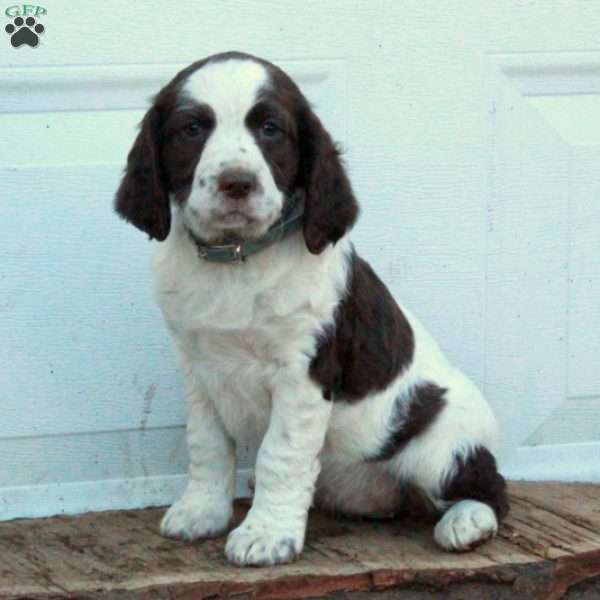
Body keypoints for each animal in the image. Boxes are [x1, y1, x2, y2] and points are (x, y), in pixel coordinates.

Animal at [115, 51, 508, 568]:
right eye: (192, 129)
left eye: (271, 130)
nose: (236, 183)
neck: (236, 260)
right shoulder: (197, 368)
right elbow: (207, 445)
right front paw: (201, 512)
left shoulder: (303, 372)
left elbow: (278, 455)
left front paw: (265, 535)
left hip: (440, 448)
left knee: (491, 485)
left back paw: (467, 522)